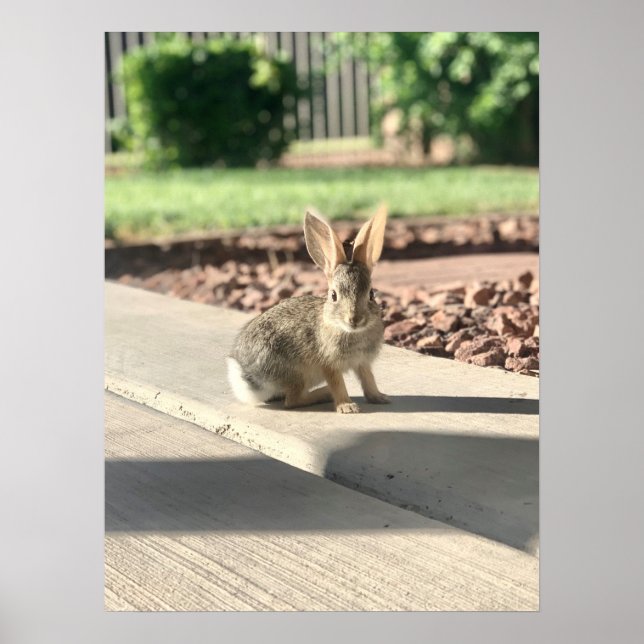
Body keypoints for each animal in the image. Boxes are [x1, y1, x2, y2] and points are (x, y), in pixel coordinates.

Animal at [227, 205, 390, 413]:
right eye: (333, 295)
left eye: (371, 294)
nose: (354, 319)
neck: (349, 331)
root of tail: (248, 375)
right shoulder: (329, 364)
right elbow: (338, 384)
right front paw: (347, 407)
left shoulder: (362, 362)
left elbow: (368, 379)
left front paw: (380, 397)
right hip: (296, 373)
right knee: (292, 401)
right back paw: (323, 393)